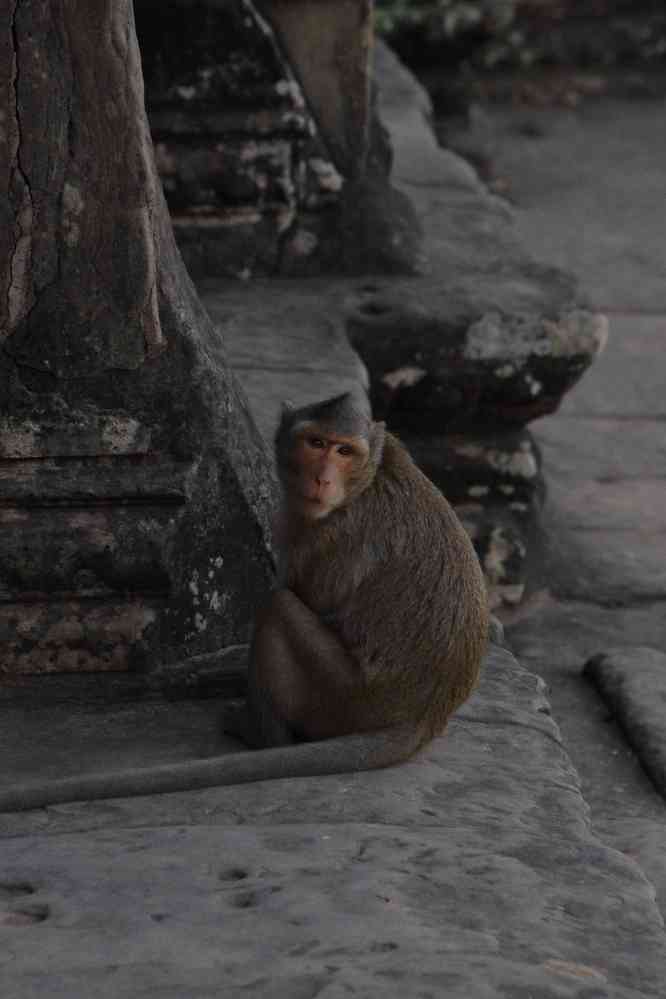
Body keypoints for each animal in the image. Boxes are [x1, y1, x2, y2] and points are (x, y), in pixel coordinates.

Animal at [0, 392, 488, 813]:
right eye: (316, 443)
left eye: (344, 451)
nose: (322, 478)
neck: (367, 480)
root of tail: (423, 718)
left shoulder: (326, 535)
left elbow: (305, 598)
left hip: (345, 697)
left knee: (277, 608)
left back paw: (261, 734)